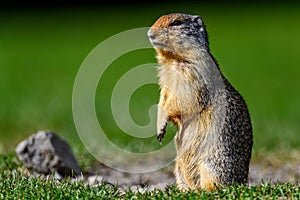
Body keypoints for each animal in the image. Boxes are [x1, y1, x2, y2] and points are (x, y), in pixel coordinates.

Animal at [148, 13, 253, 191]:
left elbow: (183, 101)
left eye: (177, 23)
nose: (149, 33)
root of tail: (242, 182)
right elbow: (163, 99)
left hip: (211, 165)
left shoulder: (193, 75)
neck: (172, 61)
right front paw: (159, 127)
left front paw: (162, 124)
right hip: (179, 168)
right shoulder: (166, 83)